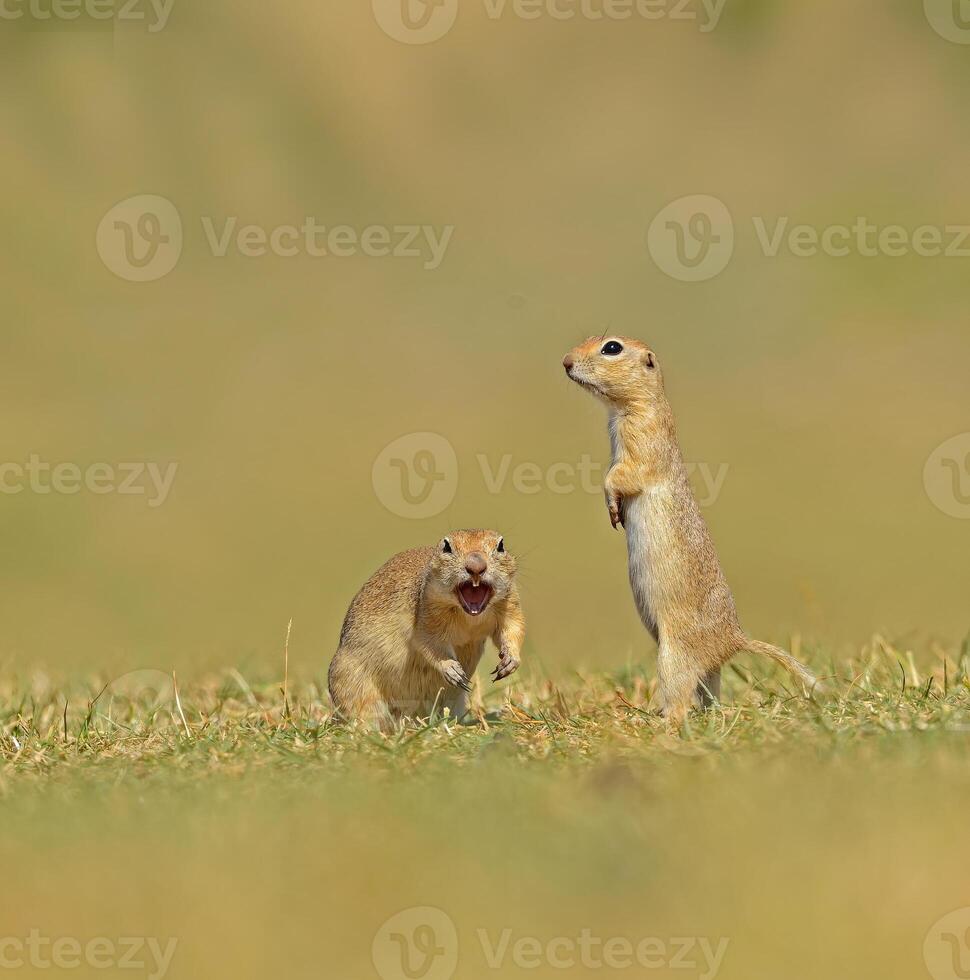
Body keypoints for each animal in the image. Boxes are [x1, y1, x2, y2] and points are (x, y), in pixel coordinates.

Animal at [328, 528, 524, 728]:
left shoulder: (509, 606)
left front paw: (510, 661)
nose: (476, 566)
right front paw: (452, 669)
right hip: (355, 688)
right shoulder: (426, 616)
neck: (470, 617)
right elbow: (429, 643)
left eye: (501, 546)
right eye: (446, 546)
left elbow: (513, 629)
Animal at [560, 338, 816, 728]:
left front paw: (612, 506)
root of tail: (734, 640)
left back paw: (659, 718)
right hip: (708, 670)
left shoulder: (641, 441)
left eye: (612, 347)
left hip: (673, 656)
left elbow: (621, 475)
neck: (634, 407)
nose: (566, 362)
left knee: (680, 697)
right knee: (710, 691)